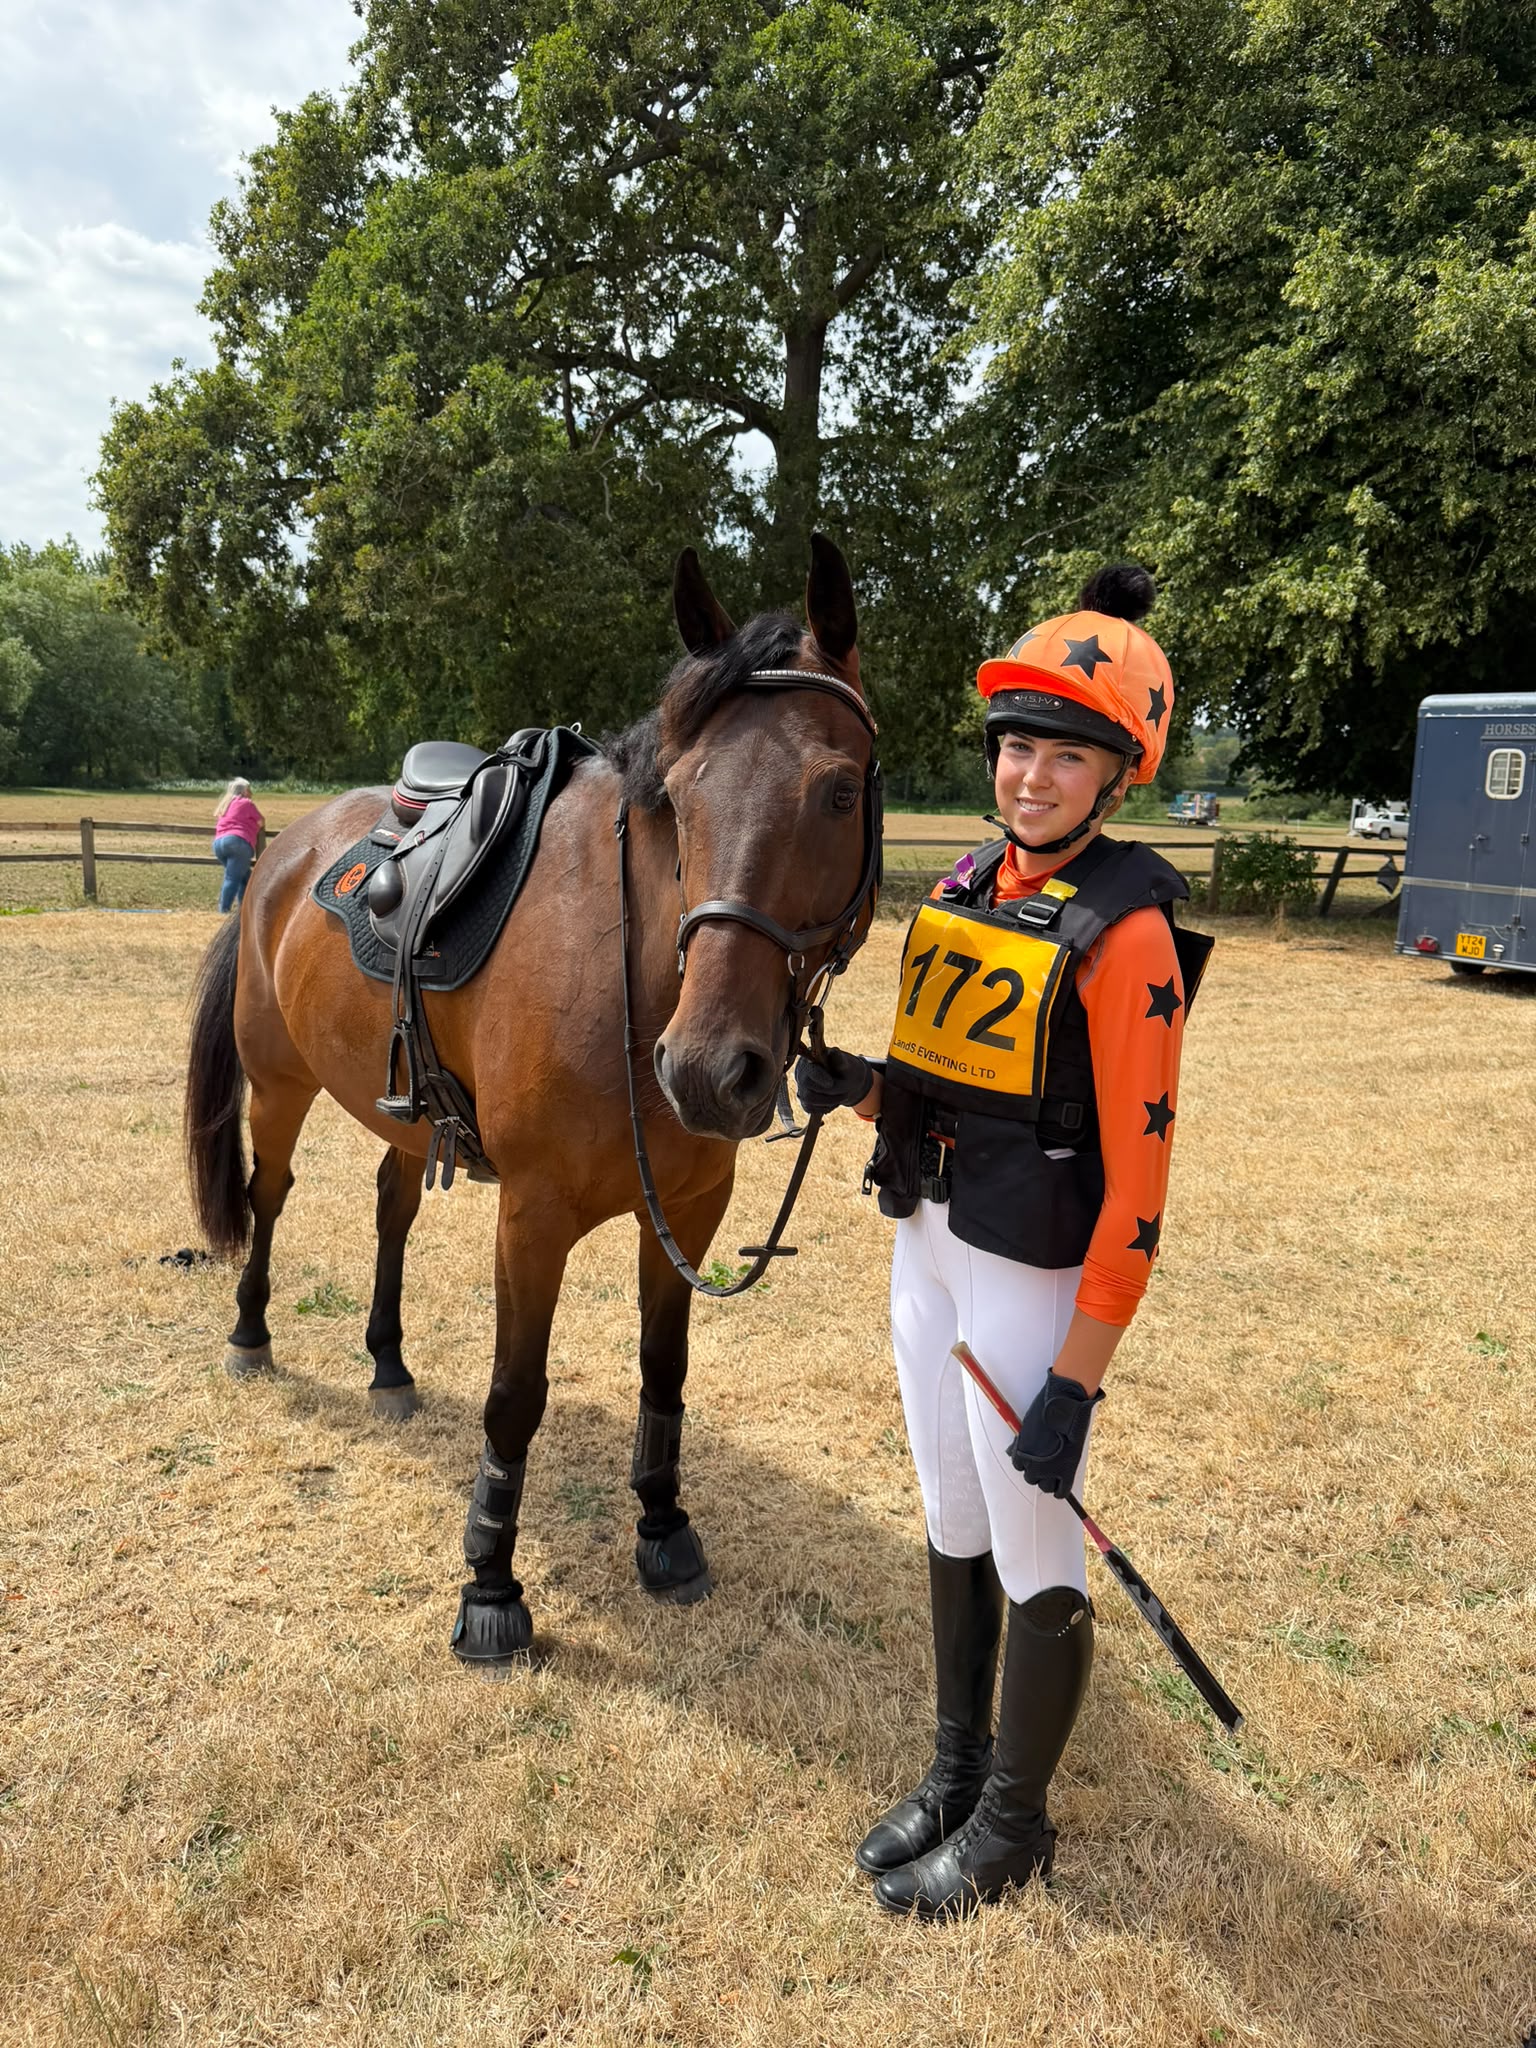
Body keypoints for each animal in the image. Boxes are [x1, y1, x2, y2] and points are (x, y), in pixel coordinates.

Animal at [183, 535, 881, 1666]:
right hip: (279, 1084)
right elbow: (515, 1397)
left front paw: (663, 1526)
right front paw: (490, 1584)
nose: (706, 1070)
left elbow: (664, 1368)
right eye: (678, 796)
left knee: (390, 1205)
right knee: (269, 1193)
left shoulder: (690, 1212)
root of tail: (284, 853)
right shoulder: (532, 1215)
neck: (631, 976)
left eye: (840, 793)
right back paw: (252, 1336)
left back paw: (388, 1362)